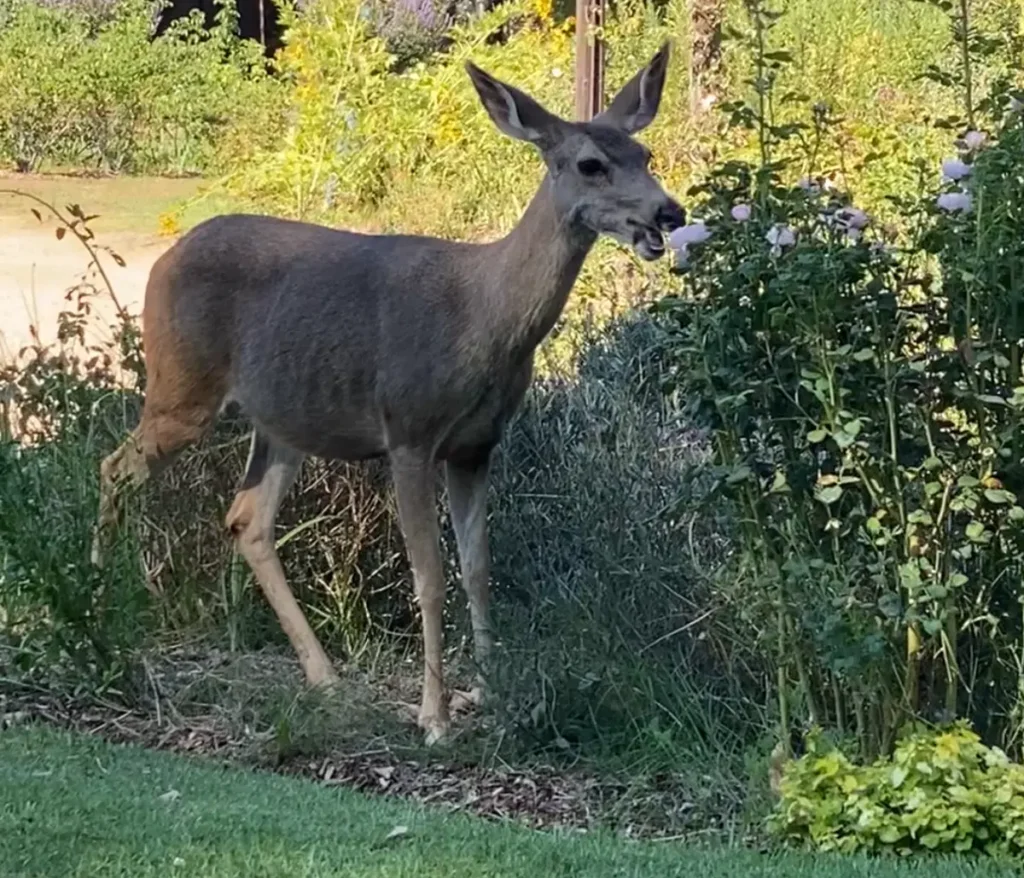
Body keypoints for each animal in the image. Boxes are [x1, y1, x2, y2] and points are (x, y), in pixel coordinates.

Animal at [94, 39, 688, 741]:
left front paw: (491, 695)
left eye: (645, 156)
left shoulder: (477, 445)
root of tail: (163, 257)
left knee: (247, 519)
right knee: (116, 466)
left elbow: (478, 569)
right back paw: (96, 598)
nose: (668, 212)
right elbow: (429, 575)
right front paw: (434, 716)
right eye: (591, 164)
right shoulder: (409, 430)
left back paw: (324, 677)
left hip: (284, 419)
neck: (484, 319)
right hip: (181, 384)